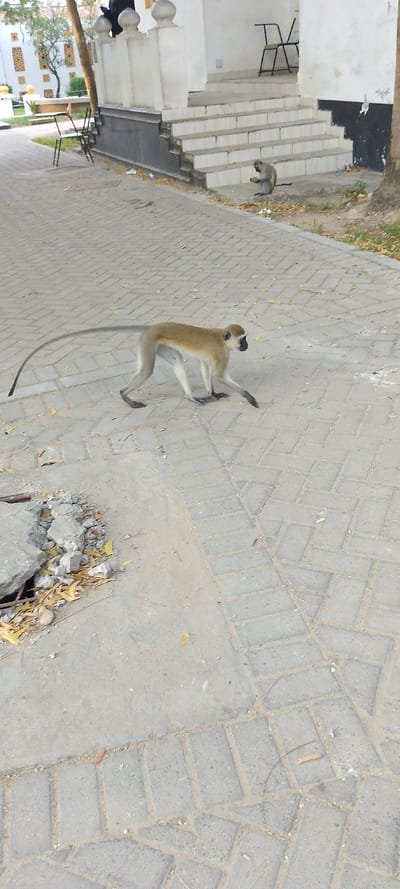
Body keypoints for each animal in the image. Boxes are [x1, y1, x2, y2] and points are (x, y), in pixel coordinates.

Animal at [8, 322, 259, 409]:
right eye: (243, 339)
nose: (247, 346)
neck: (221, 340)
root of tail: (150, 326)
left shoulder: (212, 357)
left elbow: (206, 371)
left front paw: (213, 393)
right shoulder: (221, 354)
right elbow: (220, 375)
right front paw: (249, 397)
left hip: (160, 346)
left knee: (177, 361)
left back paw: (192, 397)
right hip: (148, 344)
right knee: (146, 371)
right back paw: (124, 395)